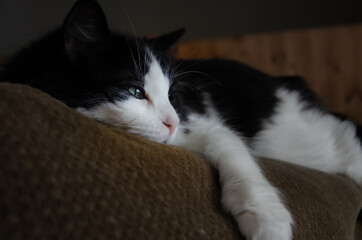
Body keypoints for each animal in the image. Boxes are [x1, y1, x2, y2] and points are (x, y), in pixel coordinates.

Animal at [0, 0, 362, 239]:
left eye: (172, 96)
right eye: (134, 91)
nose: (172, 123)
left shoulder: (205, 125)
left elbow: (236, 155)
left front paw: (265, 217)